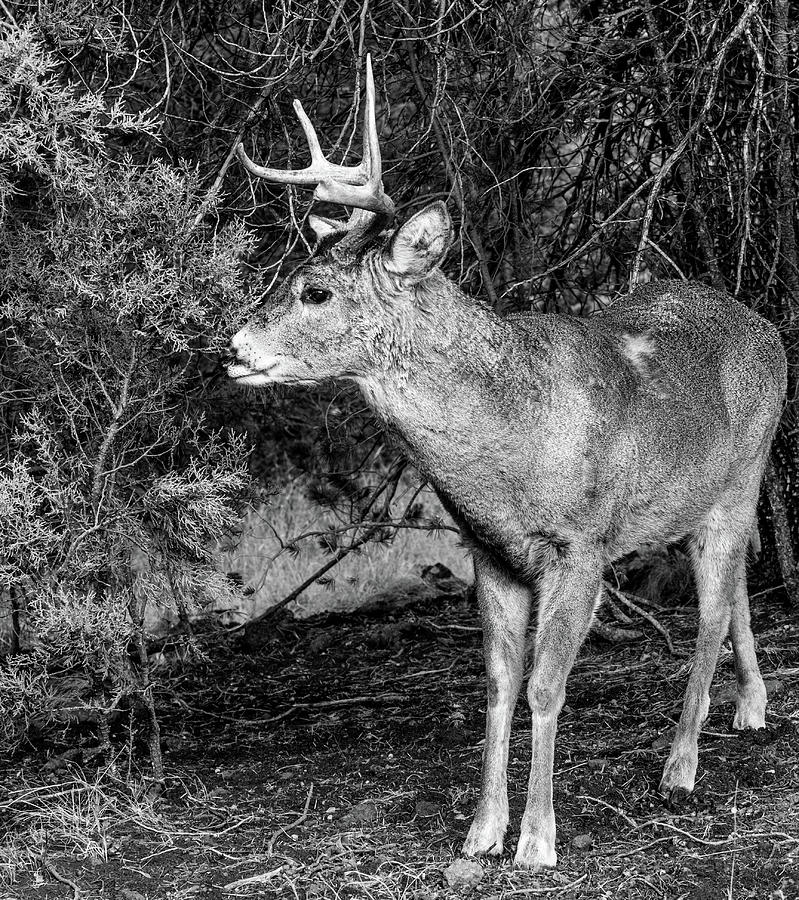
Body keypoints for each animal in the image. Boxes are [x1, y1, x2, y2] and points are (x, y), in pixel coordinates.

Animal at [227, 58, 788, 872]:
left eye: (315, 290)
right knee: (737, 584)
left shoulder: (580, 545)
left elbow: (545, 687)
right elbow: (497, 684)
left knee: (712, 610)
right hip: (695, 502)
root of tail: (766, 326)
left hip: (740, 480)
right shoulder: (487, 549)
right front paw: (481, 831)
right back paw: (750, 706)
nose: (232, 346)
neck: (507, 445)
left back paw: (679, 765)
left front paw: (536, 839)